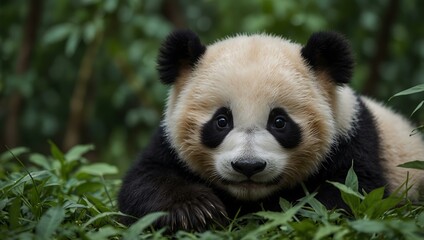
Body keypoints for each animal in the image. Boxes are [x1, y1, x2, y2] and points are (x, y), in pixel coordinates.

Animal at [117, 29, 424, 232]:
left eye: (279, 122)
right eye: (221, 121)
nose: (248, 166)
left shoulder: (351, 138)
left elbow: (348, 195)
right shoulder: (168, 142)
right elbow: (144, 180)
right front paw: (195, 211)